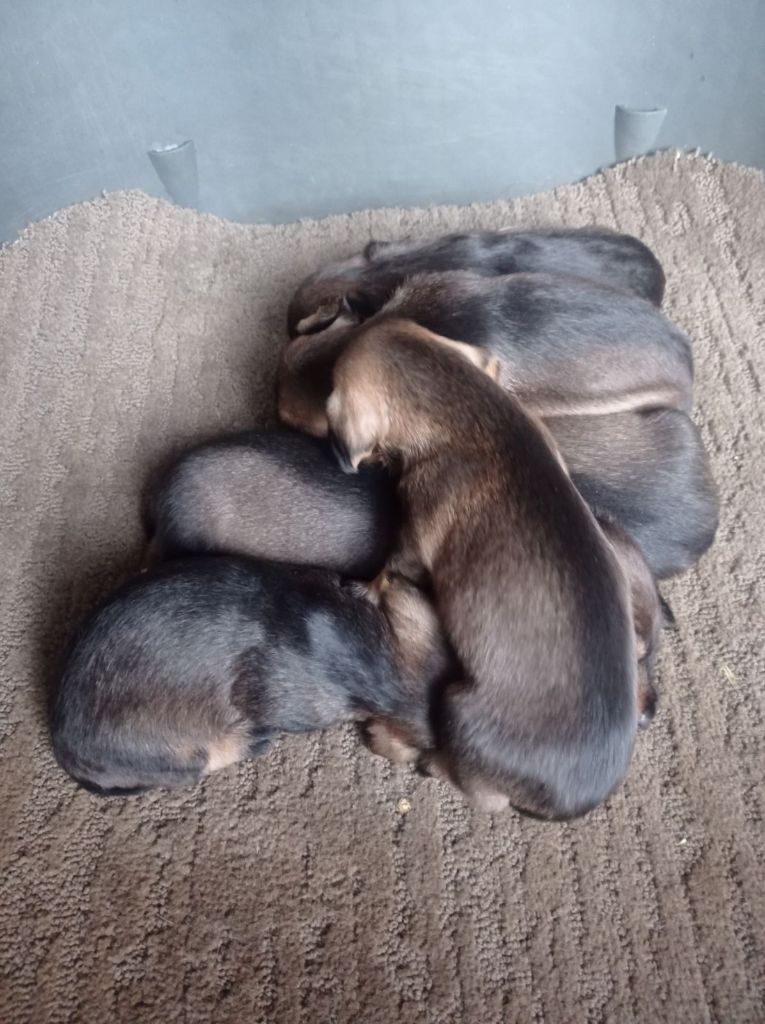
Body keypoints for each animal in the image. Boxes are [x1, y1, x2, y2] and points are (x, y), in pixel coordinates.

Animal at [327, 319, 651, 815]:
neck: (475, 413)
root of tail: (573, 800)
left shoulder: (414, 537)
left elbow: (387, 568)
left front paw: (364, 588)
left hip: (458, 710)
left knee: (481, 792)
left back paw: (427, 761)